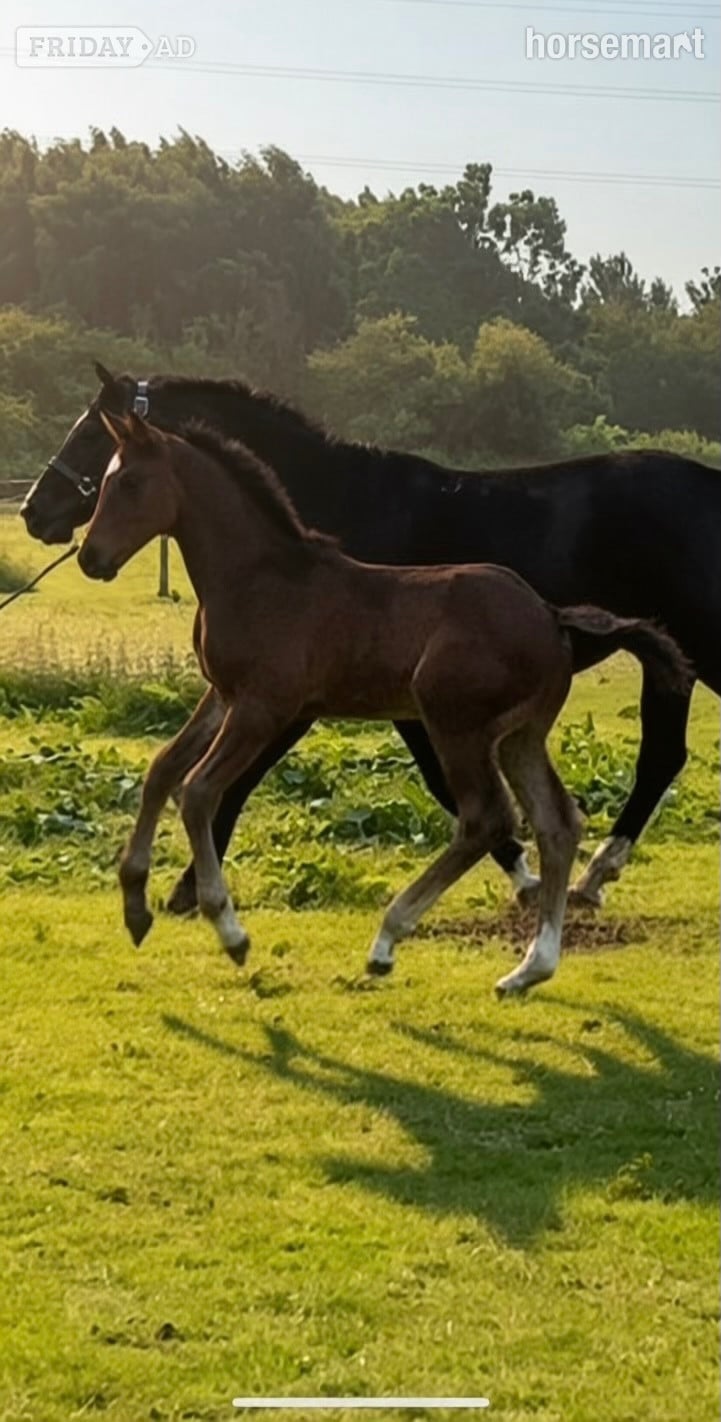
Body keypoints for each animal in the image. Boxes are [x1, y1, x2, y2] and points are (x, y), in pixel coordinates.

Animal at [21, 363, 721, 914]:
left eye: (92, 433)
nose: (34, 510)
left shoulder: (301, 697)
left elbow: (244, 781)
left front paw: (191, 886)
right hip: (672, 663)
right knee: (663, 756)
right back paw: (594, 876)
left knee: (660, 758)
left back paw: (593, 875)